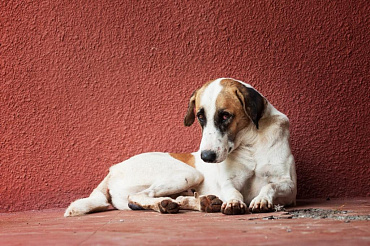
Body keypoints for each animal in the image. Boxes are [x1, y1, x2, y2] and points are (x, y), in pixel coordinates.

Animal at [63, 78, 296, 216]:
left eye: (225, 116)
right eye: (200, 117)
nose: (206, 157)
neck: (250, 143)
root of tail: (113, 169)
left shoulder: (289, 186)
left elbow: (270, 185)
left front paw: (262, 199)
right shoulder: (228, 183)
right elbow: (234, 193)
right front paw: (233, 203)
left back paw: (199, 202)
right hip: (188, 173)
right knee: (138, 197)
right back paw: (167, 204)